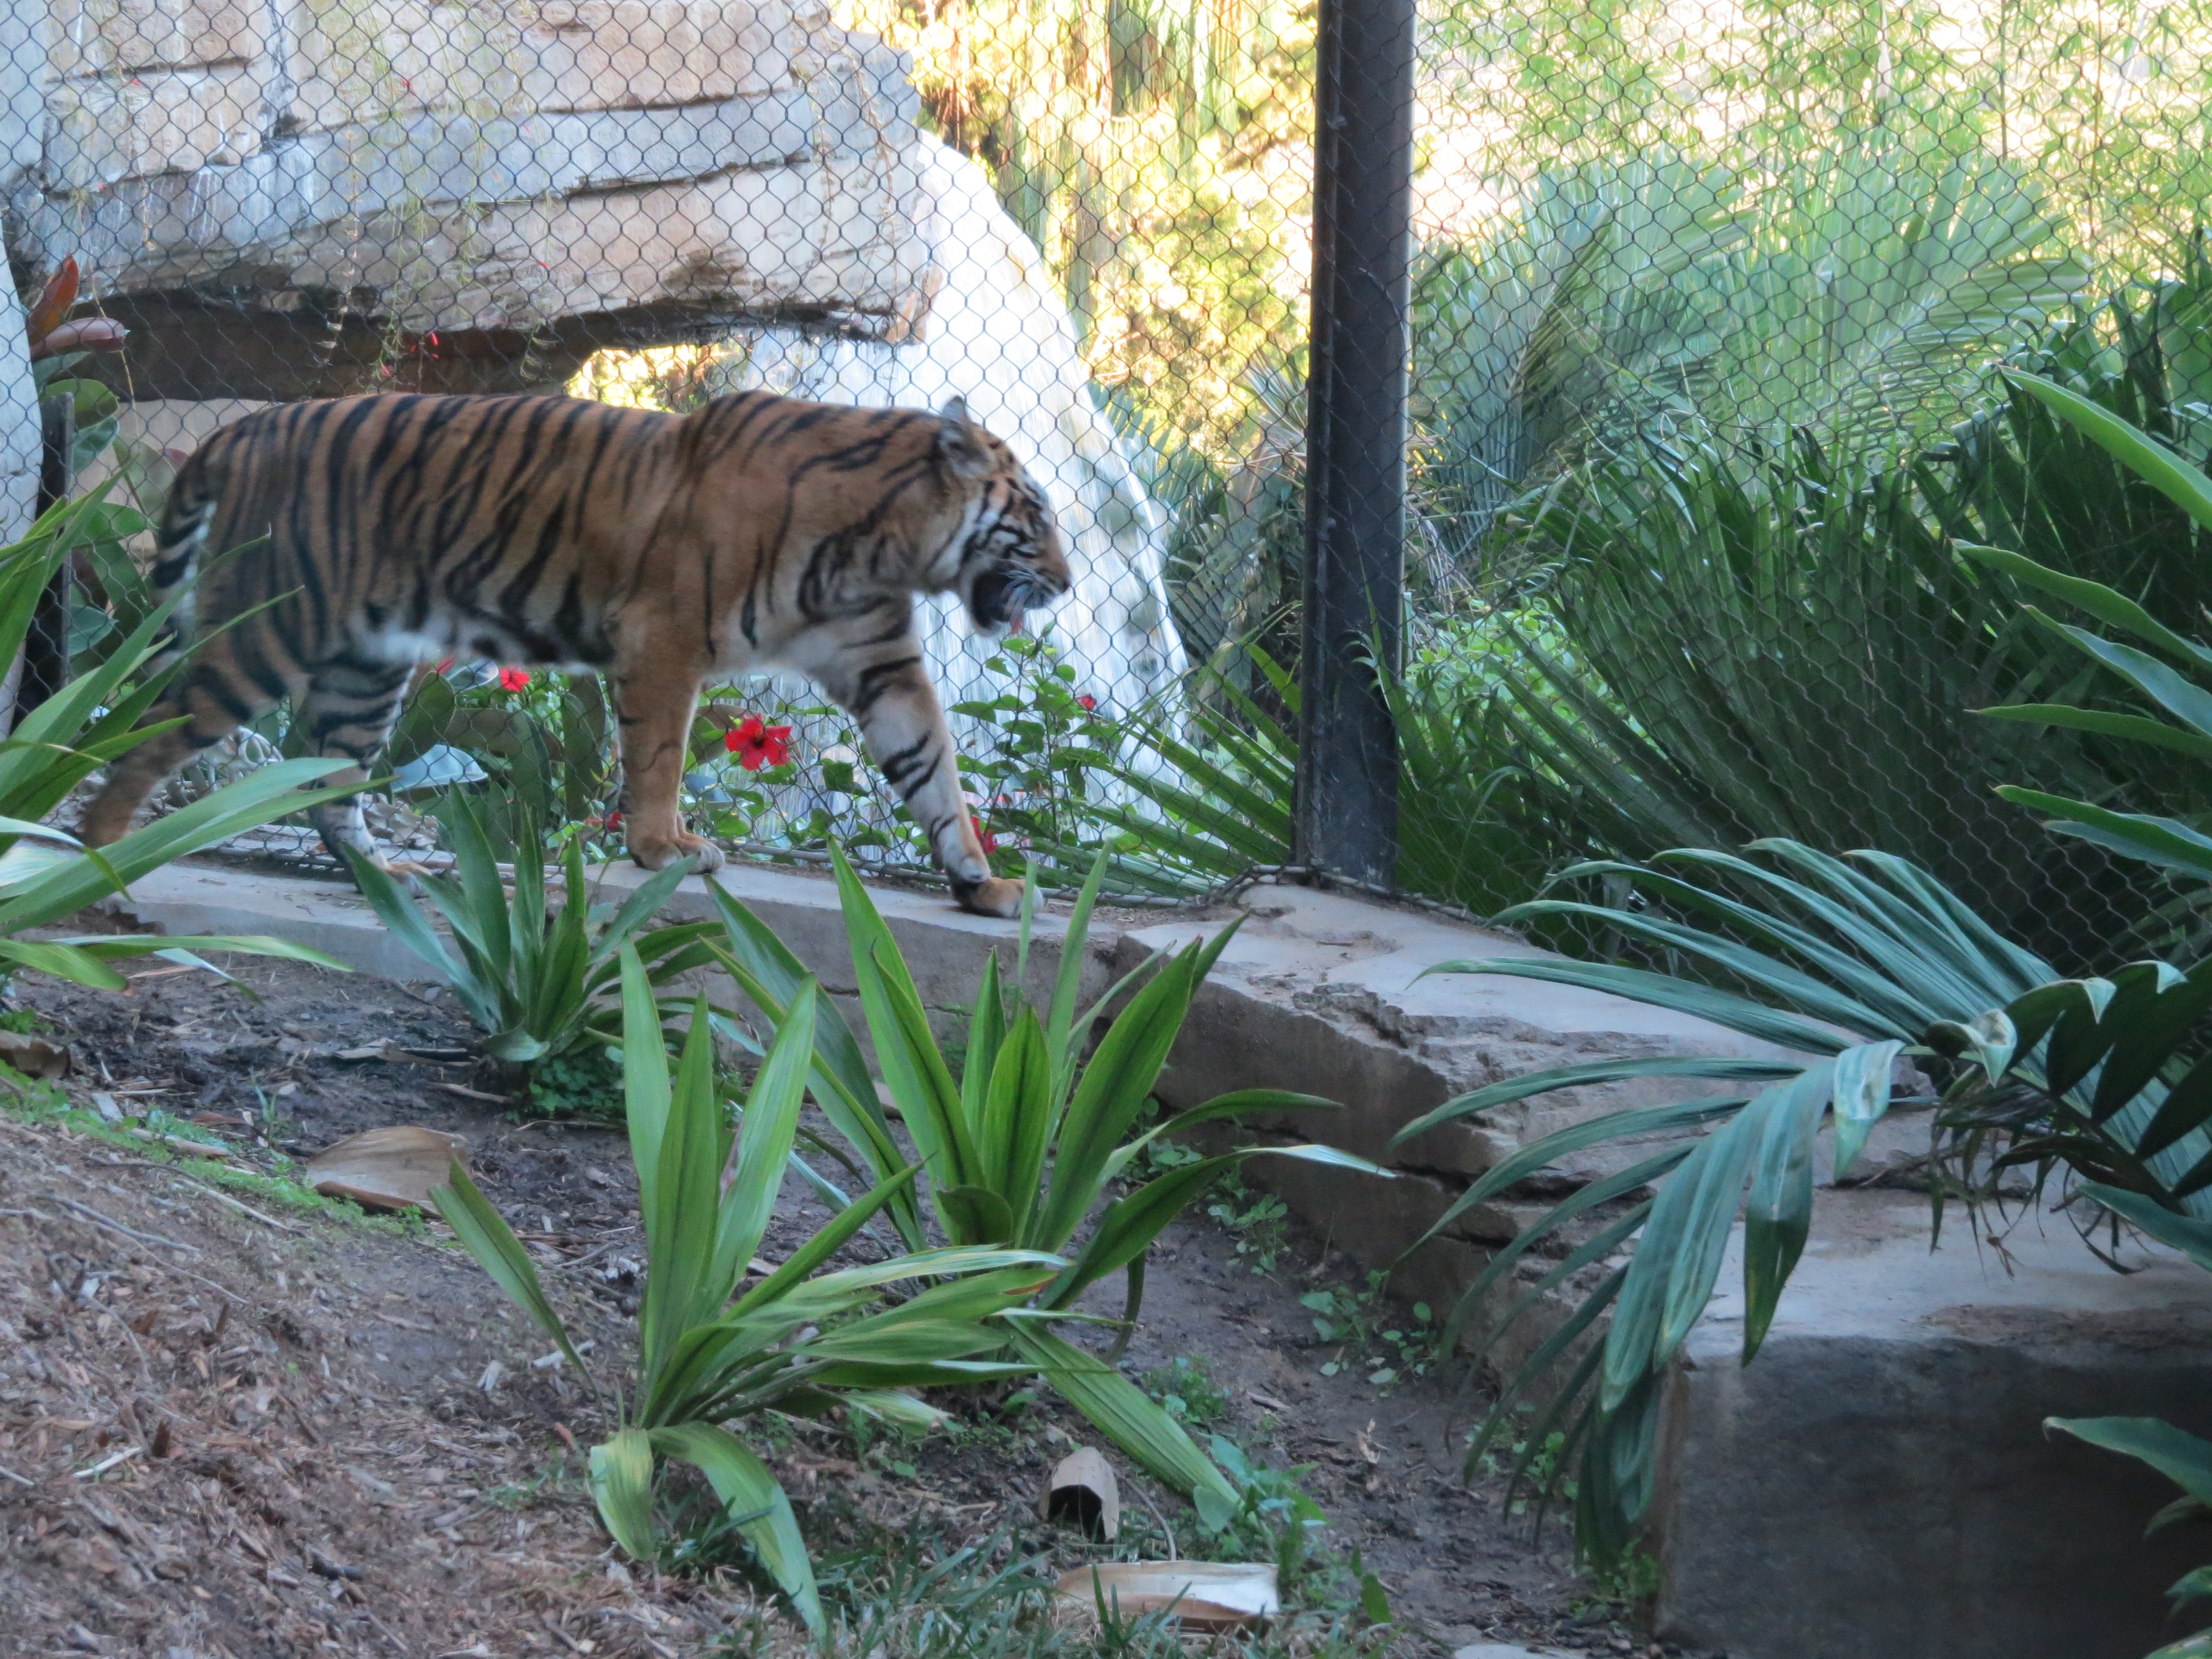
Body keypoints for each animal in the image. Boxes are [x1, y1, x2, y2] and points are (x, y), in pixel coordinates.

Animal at [86, 387, 1079, 925]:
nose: (1069, 585)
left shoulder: (882, 667)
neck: (884, 547)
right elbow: (659, 758)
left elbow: (934, 773)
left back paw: (389, 874)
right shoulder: (666, 641)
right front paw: (664, 847)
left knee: (328, 775)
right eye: (1034, 515)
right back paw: (101, 860)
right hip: (270, 629)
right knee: (147, 730)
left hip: (367, 664)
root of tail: (241, 427)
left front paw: (983, 883)